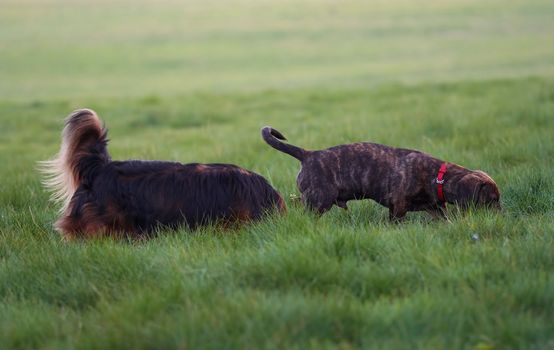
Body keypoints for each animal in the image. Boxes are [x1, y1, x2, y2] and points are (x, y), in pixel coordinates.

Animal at [260, 127, 498, 220]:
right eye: (492, 200)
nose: (500, 215)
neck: (437, 177)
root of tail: (308, 154)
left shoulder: (435, 209)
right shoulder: (398, 207)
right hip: (319, 202)